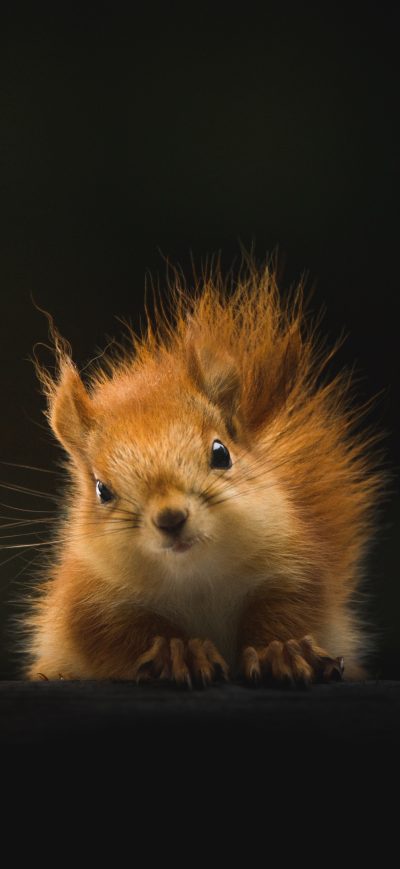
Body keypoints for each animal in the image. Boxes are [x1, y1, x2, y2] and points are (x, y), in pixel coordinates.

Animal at [21, 261, 384, 685]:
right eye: (102, 490)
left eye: (221, 453)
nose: (170, 518)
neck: (195, 578)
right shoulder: (89, 601)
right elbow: (120, 636)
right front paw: (179, 652)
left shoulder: (294, 566)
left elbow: (289, 611)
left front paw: (282, 650)